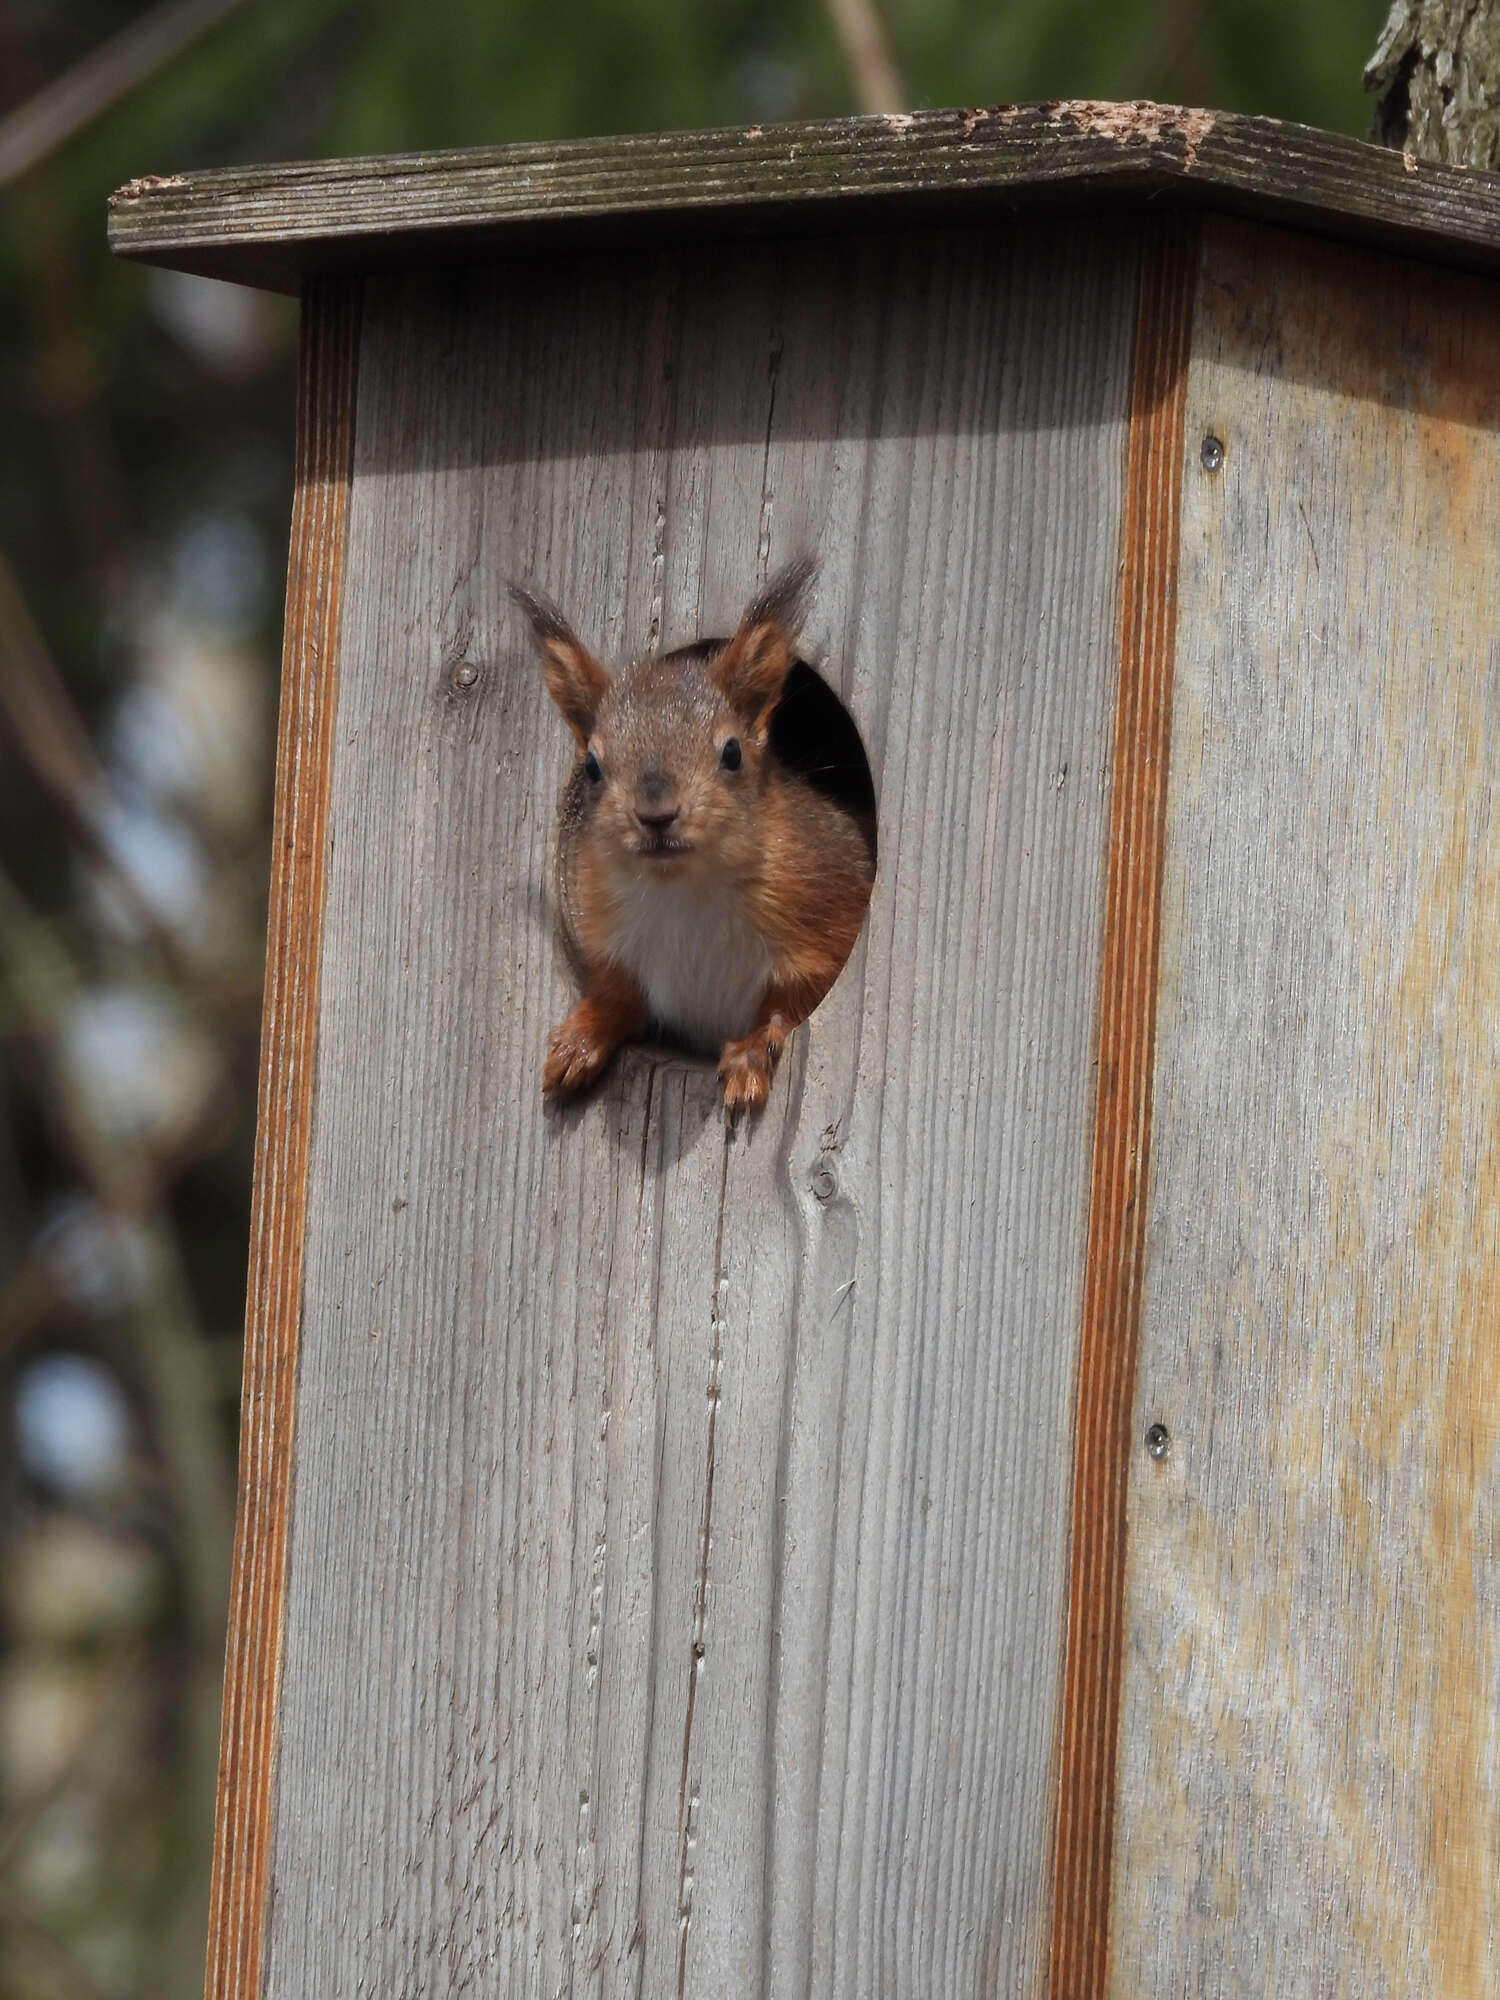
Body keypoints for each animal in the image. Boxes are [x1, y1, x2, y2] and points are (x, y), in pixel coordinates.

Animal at [512, 564, 876, 1120]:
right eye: (592, 767)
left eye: (733, 753)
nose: (656, 815)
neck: (688, 889)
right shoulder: (615, 940)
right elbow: (617, 999)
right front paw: (579, 1041)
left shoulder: (828, 924)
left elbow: (791, 1008)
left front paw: (750, 1053)